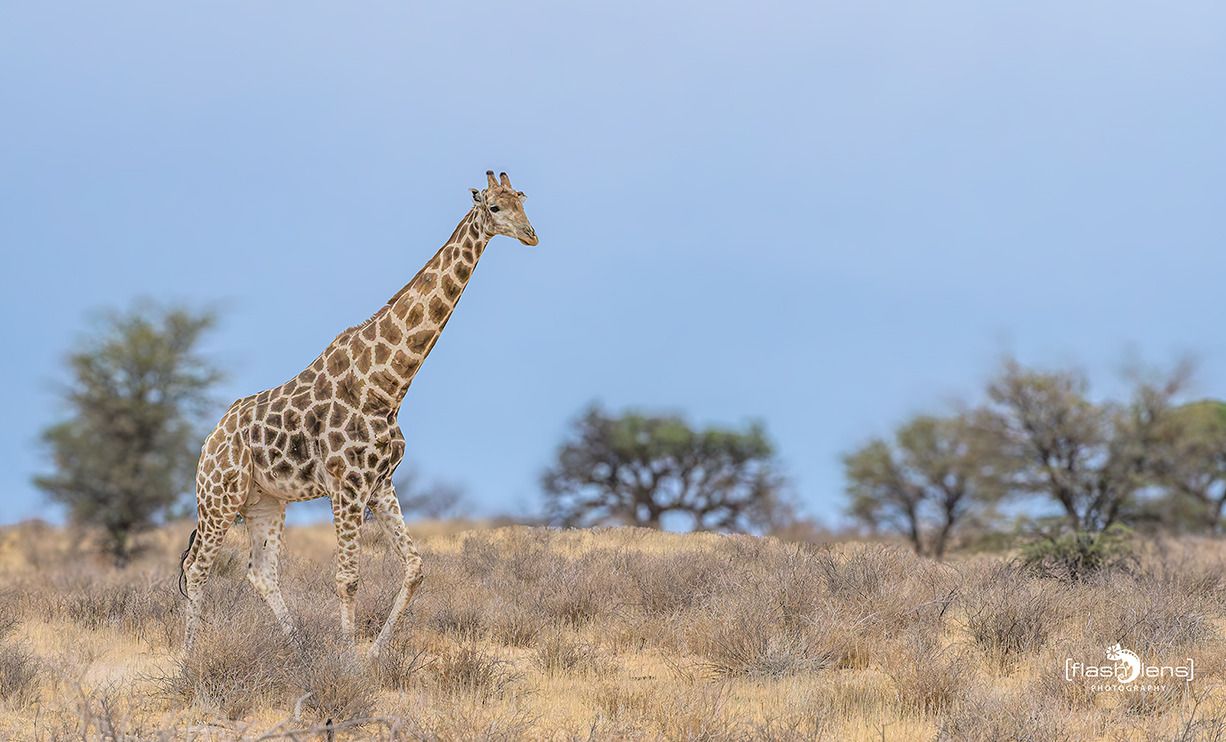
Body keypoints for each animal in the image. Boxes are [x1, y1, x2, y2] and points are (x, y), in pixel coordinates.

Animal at [180, 170, 538, 656]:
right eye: (496, 207)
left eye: (522, 200)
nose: (531, 234)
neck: (386, 387)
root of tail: (210, 439)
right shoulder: (346, 486)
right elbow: (348, 578)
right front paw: (348, 658)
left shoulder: (381, 483)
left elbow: (415, 568)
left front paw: (373, 653)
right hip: (219, 497)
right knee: (198, 568)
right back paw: (187, 658)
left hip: (265, 501)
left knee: (261, 573)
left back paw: (301, 652)